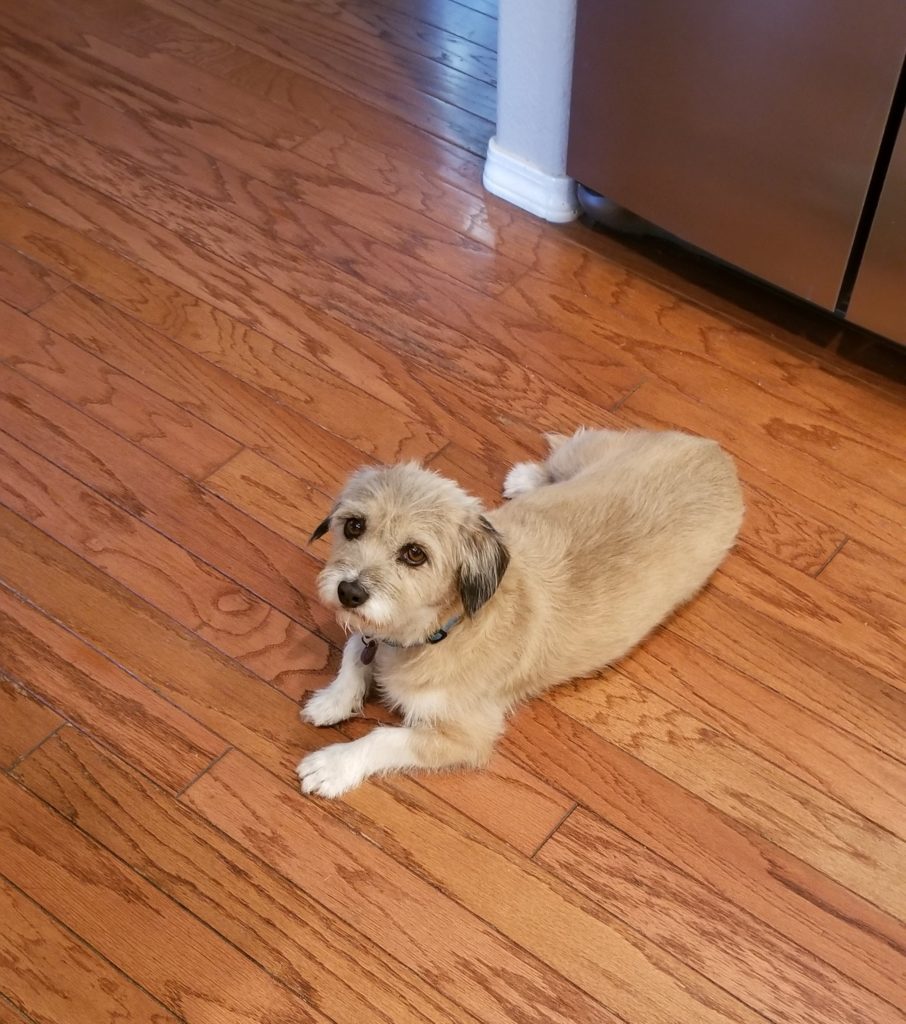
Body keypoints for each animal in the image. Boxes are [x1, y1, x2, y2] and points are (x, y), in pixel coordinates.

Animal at [296, 428, 741, 794]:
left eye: (414, 554)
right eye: (354, 526)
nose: (349, 591)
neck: (439, 629)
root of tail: (717, 453)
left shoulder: (465, 735)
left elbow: (383, 736)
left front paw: (334, 765)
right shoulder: (372, 632)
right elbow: (356, 648)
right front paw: (333, 699)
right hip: (584, 456)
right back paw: (527, 479)